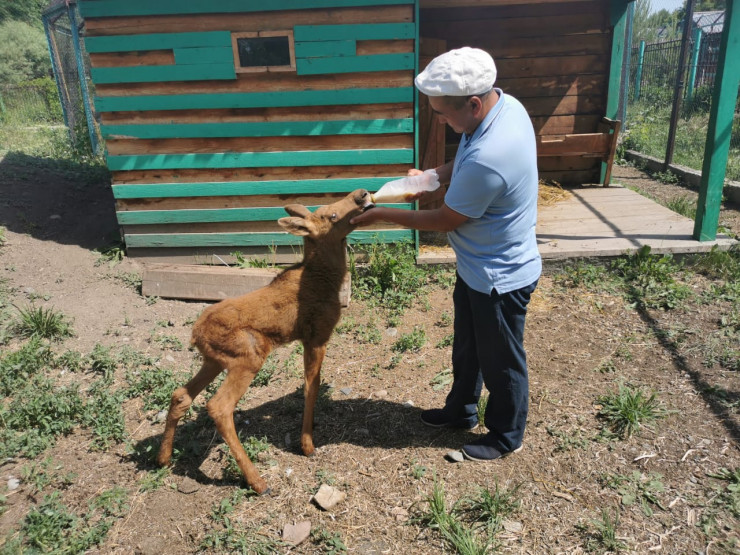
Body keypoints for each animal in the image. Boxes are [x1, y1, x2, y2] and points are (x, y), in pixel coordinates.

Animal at [156, 189, 374, 494]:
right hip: (248, 355)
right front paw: (307, 444)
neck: (327, 278)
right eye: (331, 215)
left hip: (214, 360)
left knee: (181, 394)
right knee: (218, 406)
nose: (361, 193)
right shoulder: (316, 336)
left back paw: (162, 458)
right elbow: (311, 387)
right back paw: (257, 481)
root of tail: (195, 334)